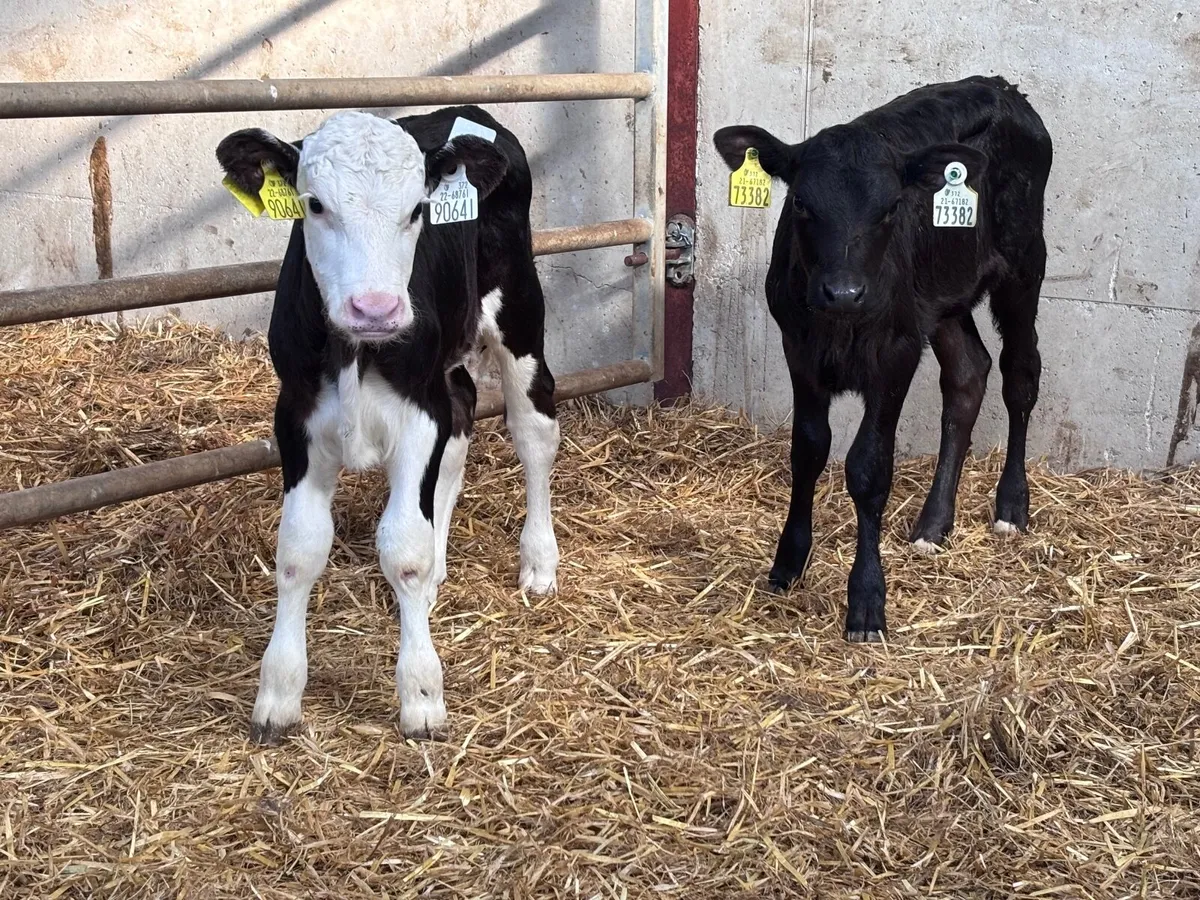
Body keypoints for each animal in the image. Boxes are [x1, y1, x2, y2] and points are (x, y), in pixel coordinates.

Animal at [216, 106, 560, 742]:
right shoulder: (295, 416)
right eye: (314, 204)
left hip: (519, 310)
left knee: (534, 431)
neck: (358, 351)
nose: (375, 308)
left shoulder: (417, 413)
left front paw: (422, 695)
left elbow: (404, 548)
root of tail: (468, 115)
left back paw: (539, 563)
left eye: (418, 210)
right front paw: (279, 693)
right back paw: (440, 576)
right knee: (462, 413)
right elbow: (299, 549)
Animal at [713, 76, 1053, 642]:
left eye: (892, 206)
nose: (845, 291)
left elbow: (869, 468)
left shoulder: (896, 355)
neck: (839, 325)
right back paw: (934, 524)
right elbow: (808, 450)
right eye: (800, 203)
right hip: (940, 301)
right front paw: (789, 561)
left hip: (1024, 265)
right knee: (968, 375)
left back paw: (1011, 504)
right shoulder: (798, 349)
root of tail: (1002, 86)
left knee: (1019, 376)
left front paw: (867, 601)